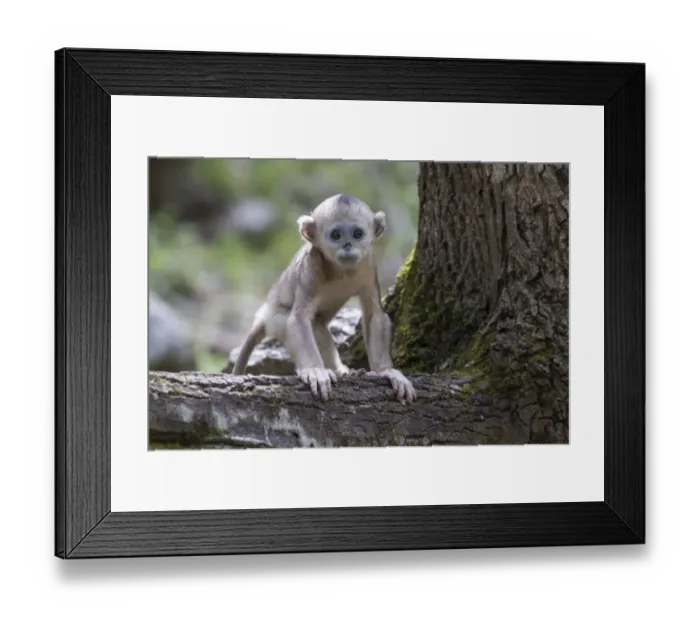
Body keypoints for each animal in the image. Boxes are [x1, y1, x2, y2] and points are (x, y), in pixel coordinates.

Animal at [232, 193, 416, 404]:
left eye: (357, 234)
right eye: (336, 235)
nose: (347, 245)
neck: (342, 271)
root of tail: (262, 316)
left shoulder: (369, 266)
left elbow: (374, 315)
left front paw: (386, 371)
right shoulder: (311, 267)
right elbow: (298, 319)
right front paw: (315, 370)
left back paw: (341, 371)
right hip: (275, 320)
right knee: (307, 324)